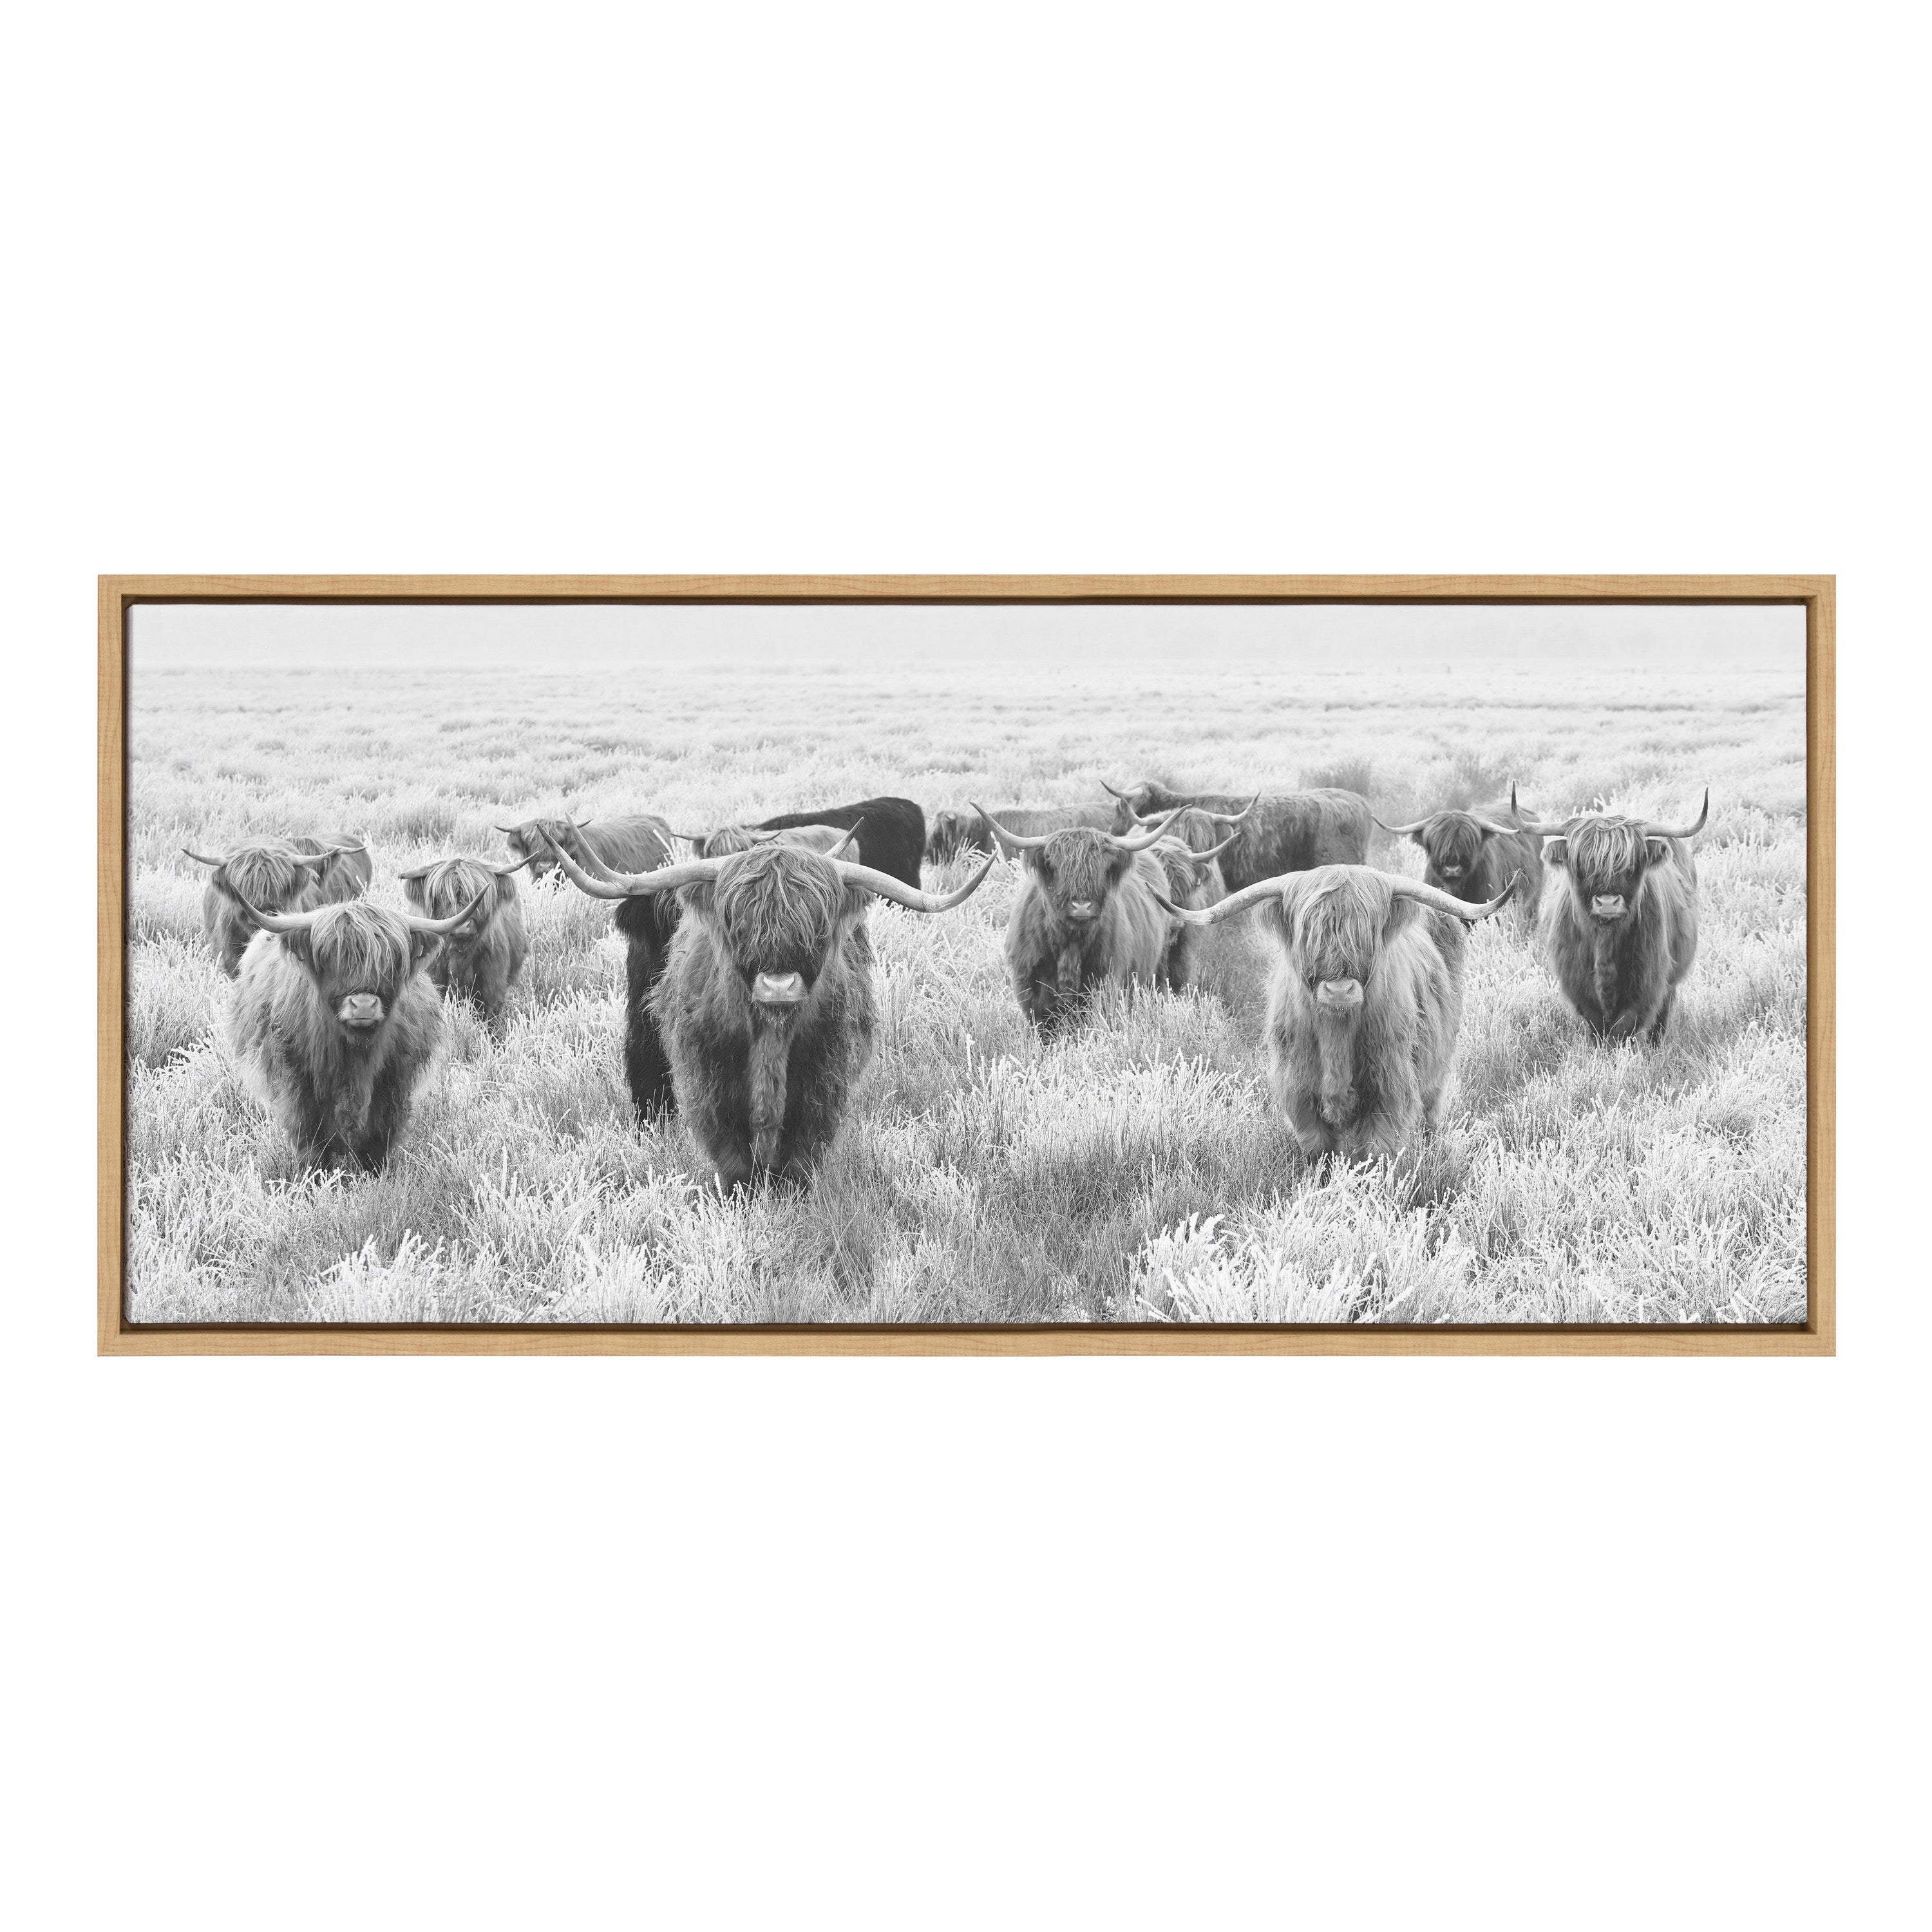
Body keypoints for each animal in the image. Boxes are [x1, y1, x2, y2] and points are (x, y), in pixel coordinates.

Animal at [223, 886, 490, 1171]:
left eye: (392, 960)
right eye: (330, 957)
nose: (363, 1005)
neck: (355, 1053)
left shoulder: (394, 1080)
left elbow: (379, 1138)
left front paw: (374, 1174)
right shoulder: (298, 1080)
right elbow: (310, 1138)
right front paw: (314, 1176)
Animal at [541, 833, 994, 1188]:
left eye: (818, 924)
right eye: (737, 921)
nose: (778, 986)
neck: (770, 1038)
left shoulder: (824, 1083)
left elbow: (801, 1157)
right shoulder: (709, 1083)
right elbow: (733, 1158)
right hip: (641, 1020)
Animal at [974, 803, 1194, 1032]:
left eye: (1103, 867)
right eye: (1055, 866)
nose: (1081, 906)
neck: (1070, 943)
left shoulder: (1105, 983)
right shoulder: (1032, 988)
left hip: (1156, 968)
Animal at [1152, 864, 1522, 1160]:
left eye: (1367, 932)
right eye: (1308, 931)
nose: (1339, 990)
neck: (1337, 1036)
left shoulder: (1389, 1090)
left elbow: (1376, 1154)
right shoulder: (1299, 1093)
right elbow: (1319, 1153)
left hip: (1436, 1071)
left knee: (1431, 1113)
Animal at [1526, 791, 1708, 1043]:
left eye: (1631, 864)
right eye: (1581, 864)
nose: (1607, 903)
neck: (1605, 939)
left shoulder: (1647, 983)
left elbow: (1623, 1029)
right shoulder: (1578, 986)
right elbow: (1598, 1027)